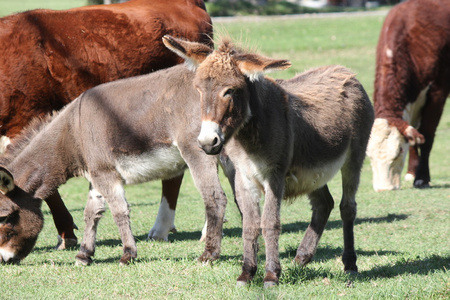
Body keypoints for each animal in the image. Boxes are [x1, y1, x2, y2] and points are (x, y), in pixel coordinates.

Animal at [0, 63, 229, 264]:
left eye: (4, 217)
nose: (4, 260)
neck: (73, 134)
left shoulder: (106, 174)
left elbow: (119, 211)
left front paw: (128, 254)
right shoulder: (96, 175)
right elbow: (91, 213)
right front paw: (84, 255)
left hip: (197, 151)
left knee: (215, 198)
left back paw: (210, 254)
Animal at [163, 36, 374, 288]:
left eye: (230, 91)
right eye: (198, 90)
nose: (207, 142)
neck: (249, 136)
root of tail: (345, 72)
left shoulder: (275, 176)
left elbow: (270, 223)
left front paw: (271, 275)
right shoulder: (243, 176)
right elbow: (250, 224)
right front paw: (246, 273)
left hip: (354, 156)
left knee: (347, 206)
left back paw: (350, 264)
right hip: (312, 173)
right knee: (325, 204)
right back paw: (302, 257)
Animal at [368, 0, 448, 191]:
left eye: (399, 152)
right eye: (369, 155)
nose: (383, 188)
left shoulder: (437, 92)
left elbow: (426, 135)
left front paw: (422, 177)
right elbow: (413, 136)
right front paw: (412, 172)